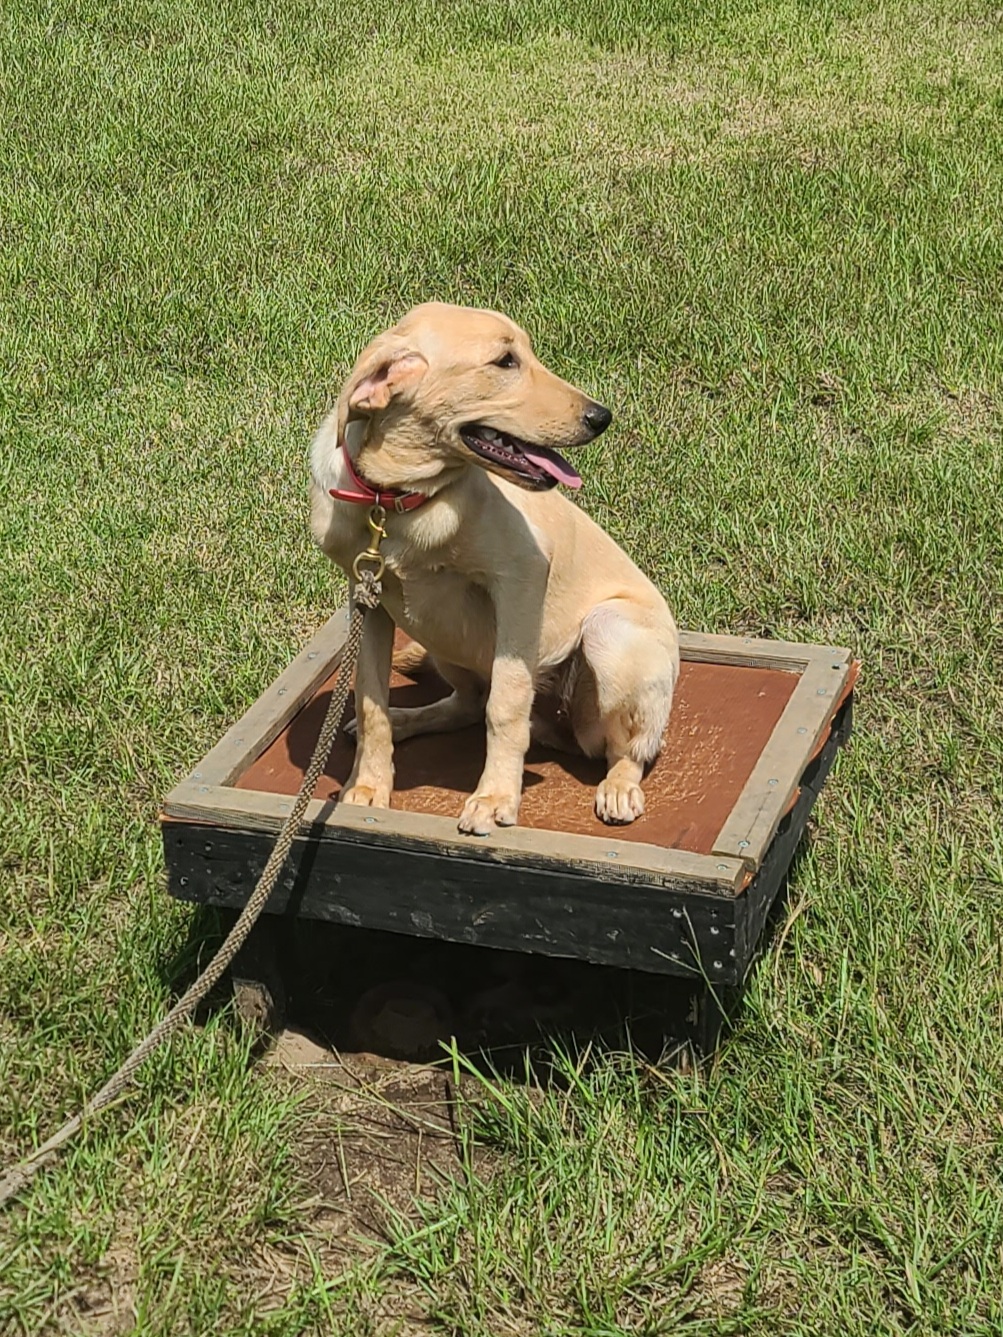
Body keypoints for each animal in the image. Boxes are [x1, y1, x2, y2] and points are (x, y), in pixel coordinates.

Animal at [310, 300, 679, 834]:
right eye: (505, 362)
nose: (601, 417)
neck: (398, 501)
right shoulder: (369, 602)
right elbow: (370, 696)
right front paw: (368, 785)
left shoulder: (521, 577)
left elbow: (506, 703)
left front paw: (495, 796)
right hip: (439, 639)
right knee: (464, 704)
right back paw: (407, 719)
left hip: (611, 636)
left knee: (627, 749)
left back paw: (618, 788)